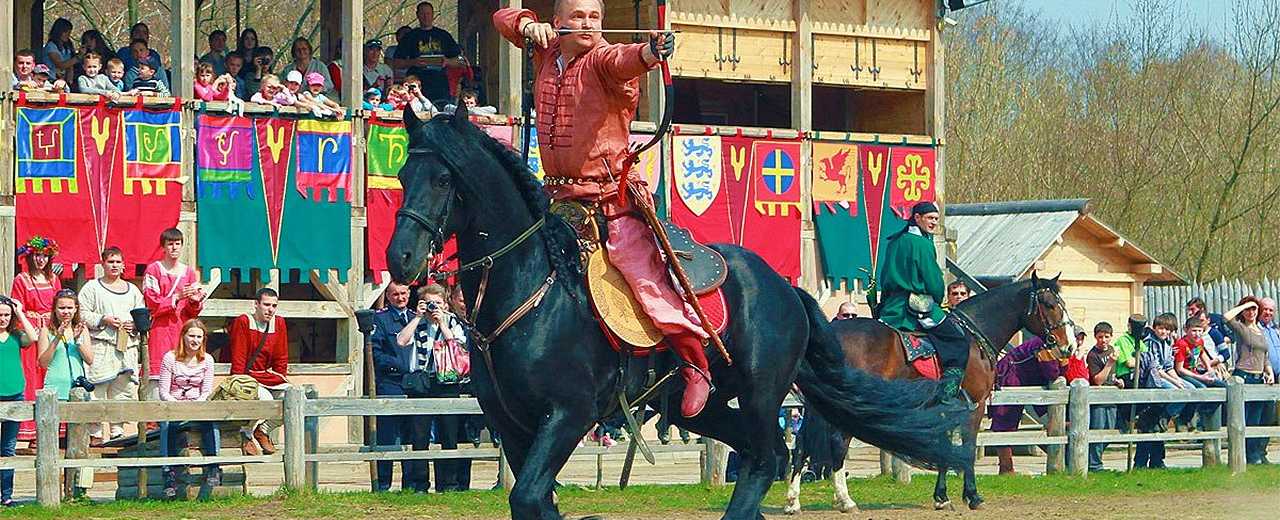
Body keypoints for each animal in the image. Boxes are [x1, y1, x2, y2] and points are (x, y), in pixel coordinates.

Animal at [385, 106, 974, 520]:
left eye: (444, 179)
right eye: (402, 174)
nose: (400, 258)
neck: (532, 292)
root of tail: (788, 291)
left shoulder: (569, 414)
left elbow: (529, 497)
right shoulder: (510, 425)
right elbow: (535, 500)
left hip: (760, 393)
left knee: (768, 458)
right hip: (705, 406)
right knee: (761, 455)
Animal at [784, 275, 1075, 513]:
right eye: (1049, 304)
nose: (1069, 346)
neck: (974, 336)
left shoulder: (943, 407)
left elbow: (943, 445)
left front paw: (942, 497)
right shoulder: (975, 405)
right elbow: (968, 446)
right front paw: (972, 496)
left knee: (802, 443)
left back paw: (793, 501)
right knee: (838, 442)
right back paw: (845, 501)